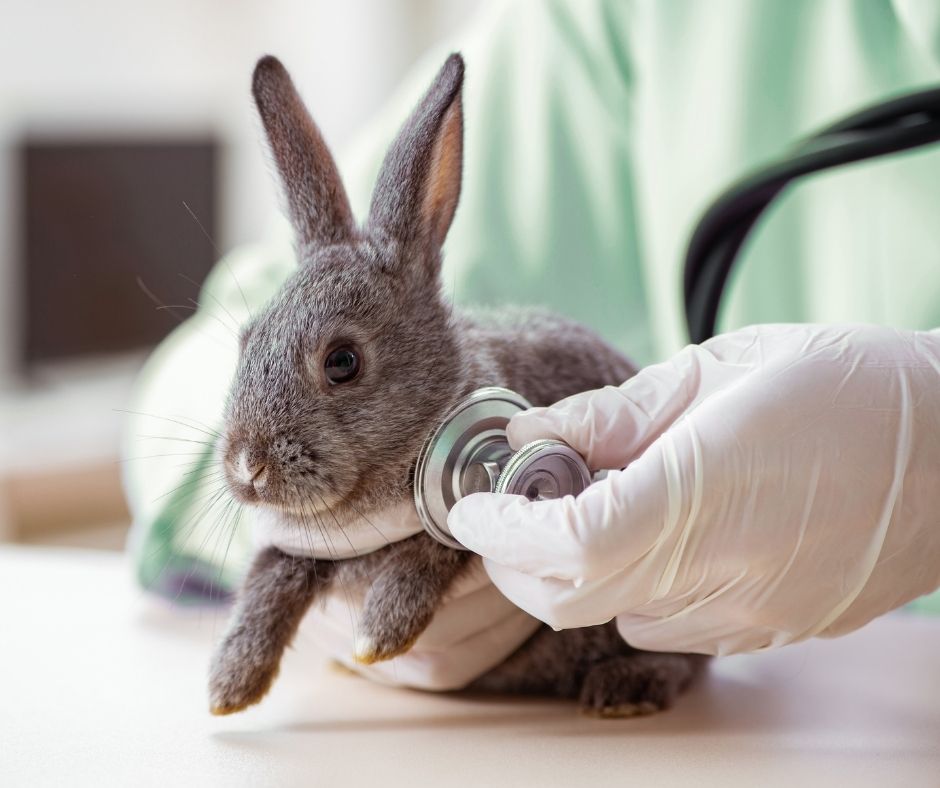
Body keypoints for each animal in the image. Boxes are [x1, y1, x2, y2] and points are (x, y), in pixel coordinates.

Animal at [208, 53, 707, 718]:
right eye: (245, 340)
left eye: (342, 361)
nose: (247, 466)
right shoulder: (297, 549)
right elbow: (269, 576)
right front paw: (229, 685)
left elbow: (439, 547)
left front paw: (379, 634)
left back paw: (624, 688)